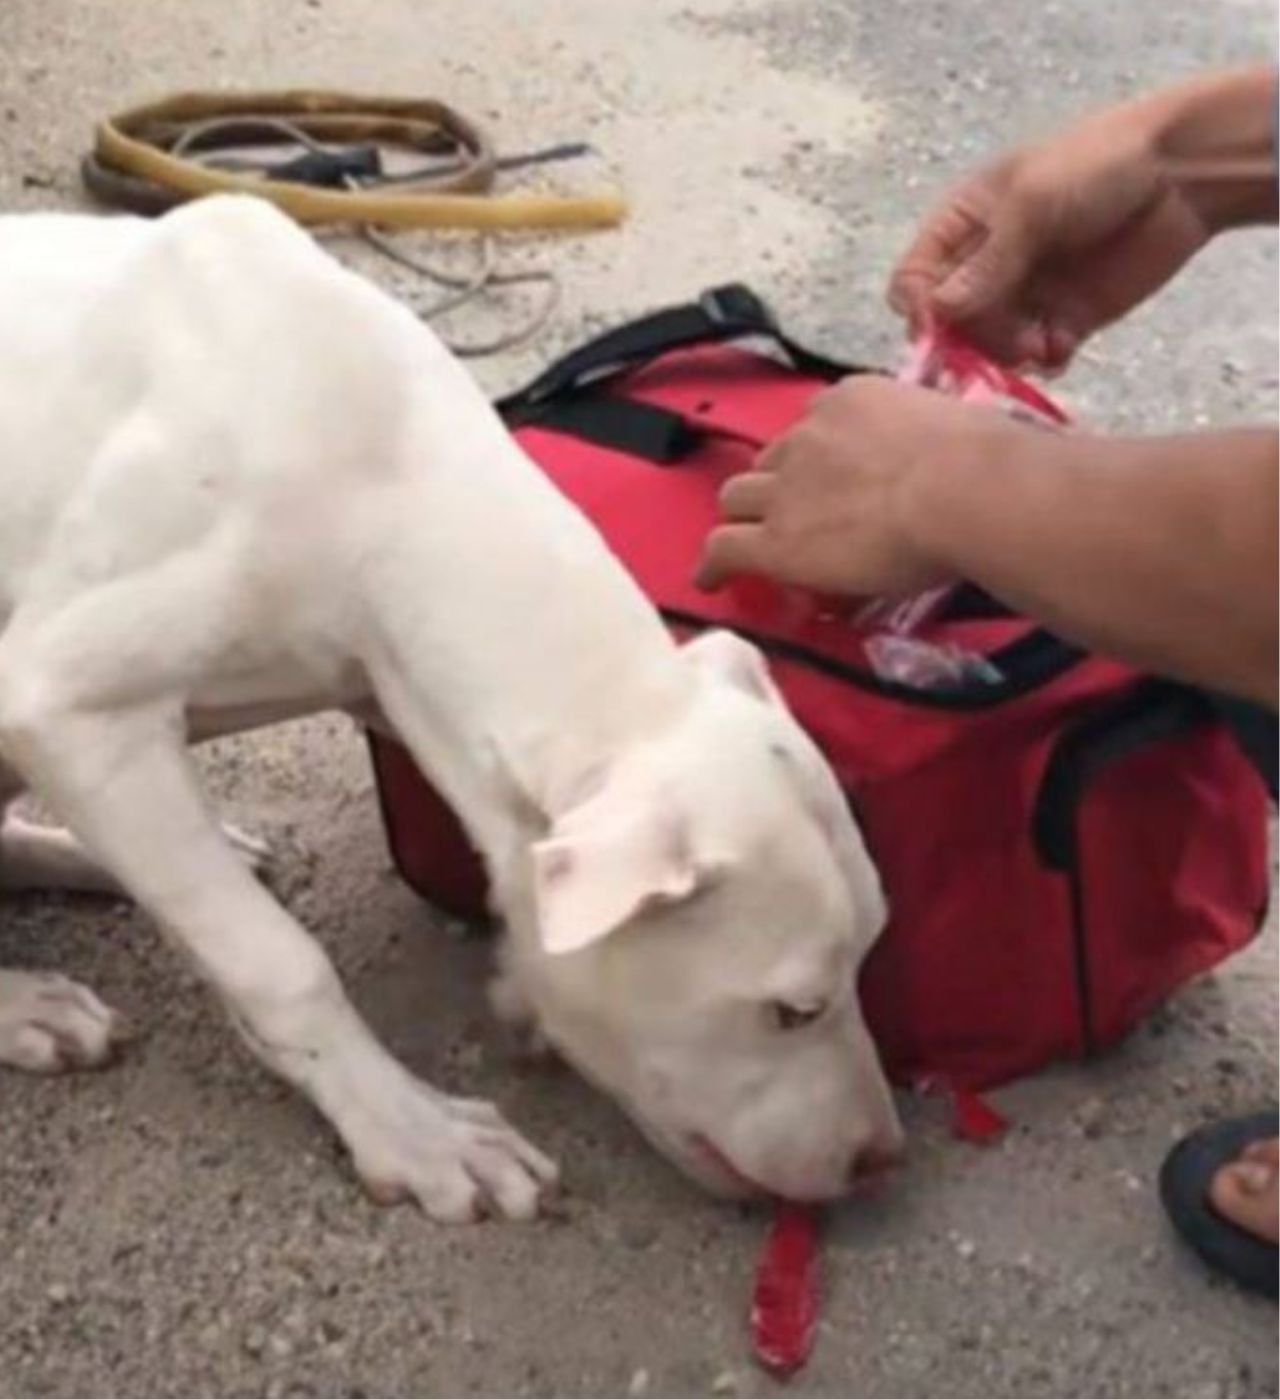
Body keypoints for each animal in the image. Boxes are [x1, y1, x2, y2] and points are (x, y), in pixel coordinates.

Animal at [0, 194, 896, 1215]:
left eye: (870, 959)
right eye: (791, 1011)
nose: (883, 1159)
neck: (387, 482)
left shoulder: (394, 686)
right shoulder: (66, 708)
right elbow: (282, 964)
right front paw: (413, 1131)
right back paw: (24, 1003)